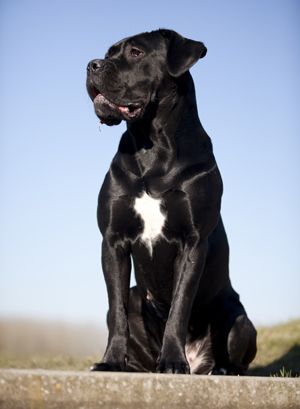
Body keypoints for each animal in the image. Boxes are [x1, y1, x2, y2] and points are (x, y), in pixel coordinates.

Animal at [85, 28, 256, 372]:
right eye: (109, 53)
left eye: (136, 52)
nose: (92, 64)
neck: (152, 146)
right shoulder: (112, 240)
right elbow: (117, 310)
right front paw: (110, 361)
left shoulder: (192, 242)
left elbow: (179, 306)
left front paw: (174, 361)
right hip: (138, 297)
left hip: (239, 318)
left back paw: (220, 368)